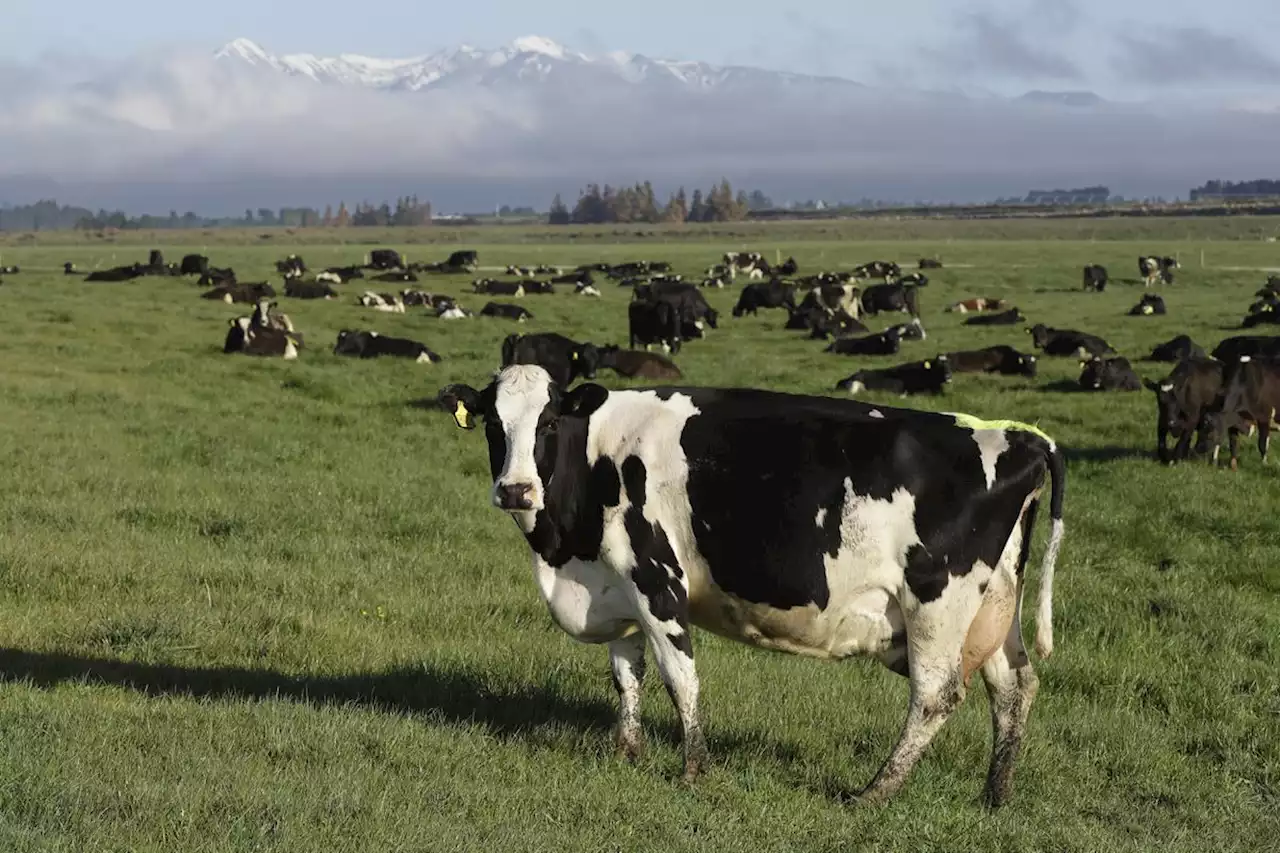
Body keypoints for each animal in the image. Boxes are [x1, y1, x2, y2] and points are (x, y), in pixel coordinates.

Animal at [435, 363, 1064, 804]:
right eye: (493, 424)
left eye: (546, 423)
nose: (515, 490)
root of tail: (1021, 437)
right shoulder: (615, 585)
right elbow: (626, 674)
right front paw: (626, 754)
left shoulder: (656, 577)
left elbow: (679, 678)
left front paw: (692, 771)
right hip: (994, 605)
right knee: (1014, 687)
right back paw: (995, 794)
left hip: (938, 602)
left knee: (937, 695)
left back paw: (874, 792)